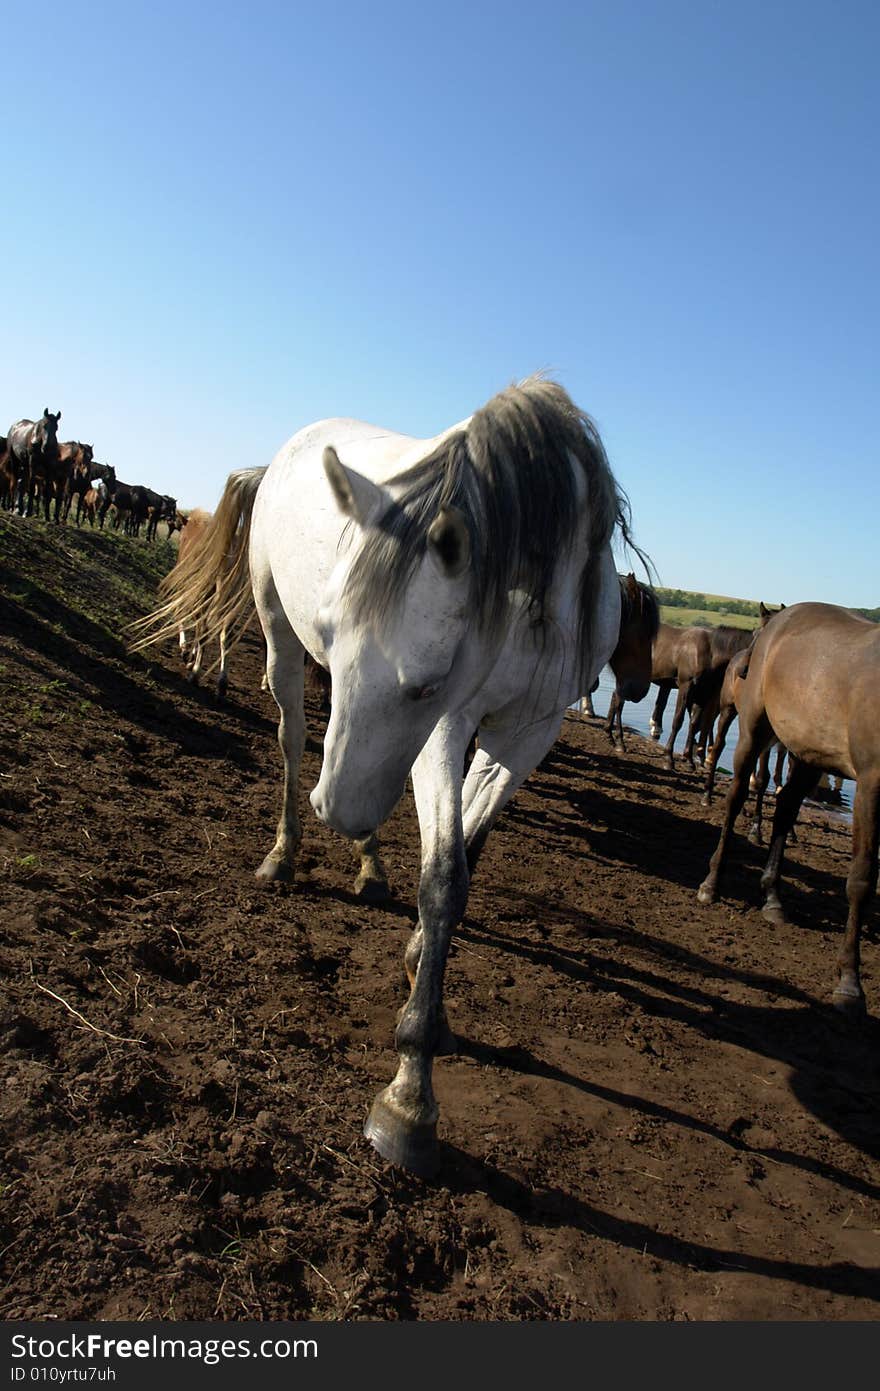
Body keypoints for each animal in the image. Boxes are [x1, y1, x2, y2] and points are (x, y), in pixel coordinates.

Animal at [132, 378, 639, 1174]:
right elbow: (444, 878)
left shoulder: (527, 733)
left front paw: (425, 987)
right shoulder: (448, 729)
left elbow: (466, 857)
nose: (337, 808)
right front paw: (409, 1097)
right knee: (293, 741)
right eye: (333, 633)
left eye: (422, 683)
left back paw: (366, 862)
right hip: (281, 643)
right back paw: (284, 853)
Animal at [700, 603, 878, 1018]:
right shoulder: (871, 785)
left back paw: (773, 898)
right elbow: (861, 880)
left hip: (810, 753)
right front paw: (850, 983)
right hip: (754, 730)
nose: (743, 667)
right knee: (736, 798)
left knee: (784, 807)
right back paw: (712, 883)